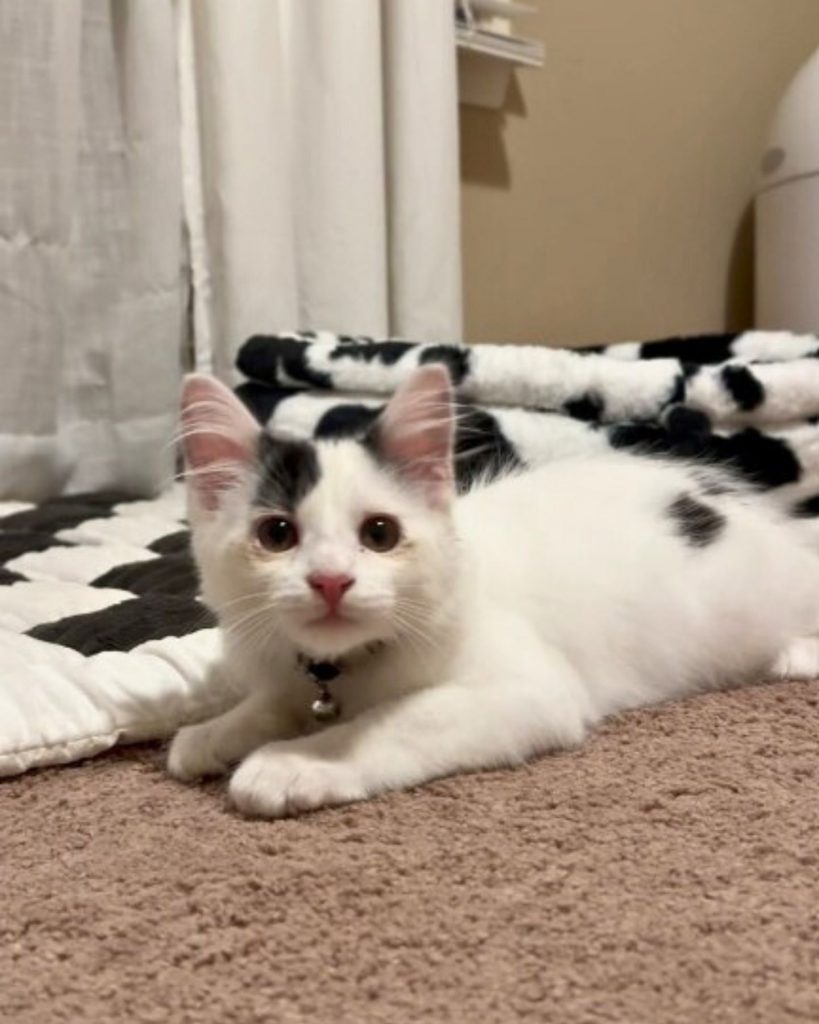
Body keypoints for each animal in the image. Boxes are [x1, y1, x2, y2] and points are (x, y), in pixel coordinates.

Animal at [165, 364, 818, 819]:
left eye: (380, 534)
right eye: (277, 535)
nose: (331, 580)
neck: (346, 667)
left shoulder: (531, 690)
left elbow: (394, 720)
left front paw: (293, 763)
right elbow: (274, 701)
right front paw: (213, 733)